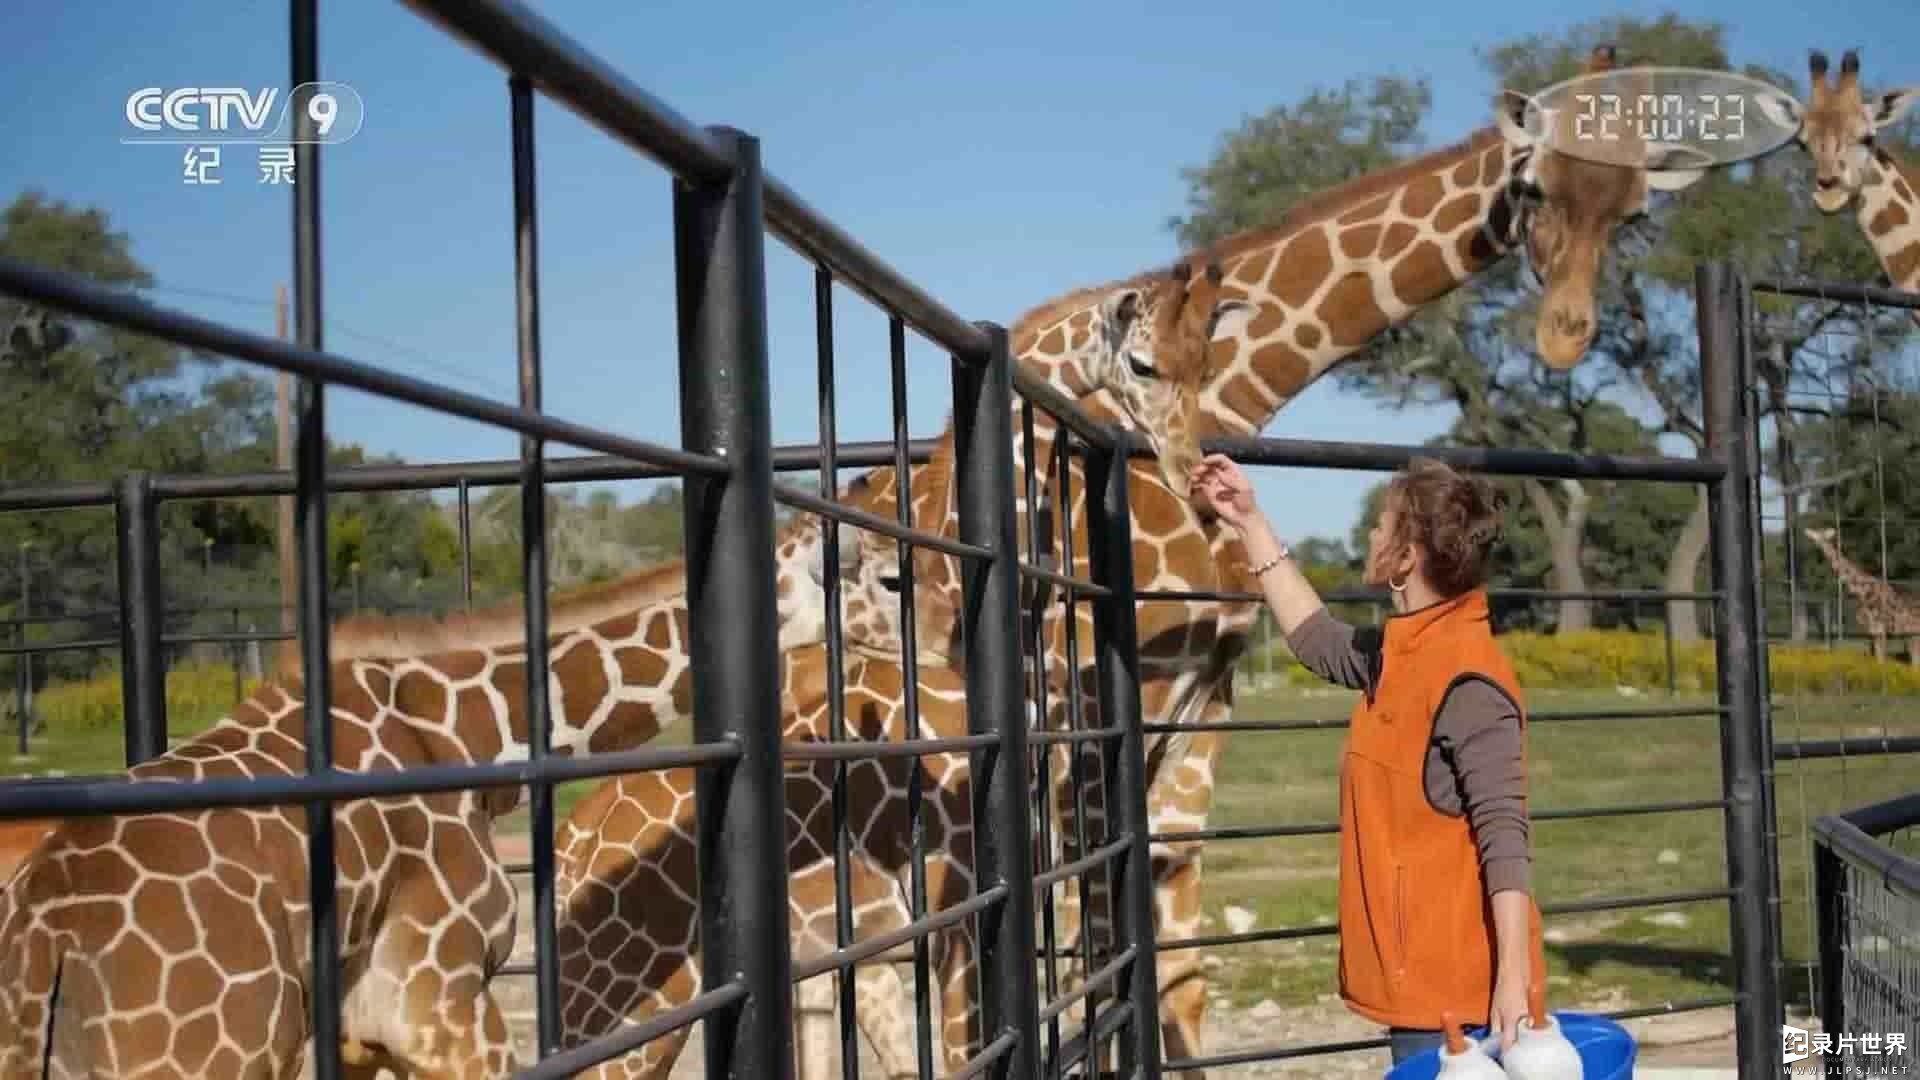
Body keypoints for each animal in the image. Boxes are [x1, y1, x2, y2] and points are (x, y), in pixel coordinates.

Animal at [1797, 518, 1920, 657]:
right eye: (1814, 536)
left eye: (1825, 535)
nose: (1819, 543)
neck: (1861, 592)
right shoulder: (1871, 631)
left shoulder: (1879, 628)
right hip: (1910, 635)